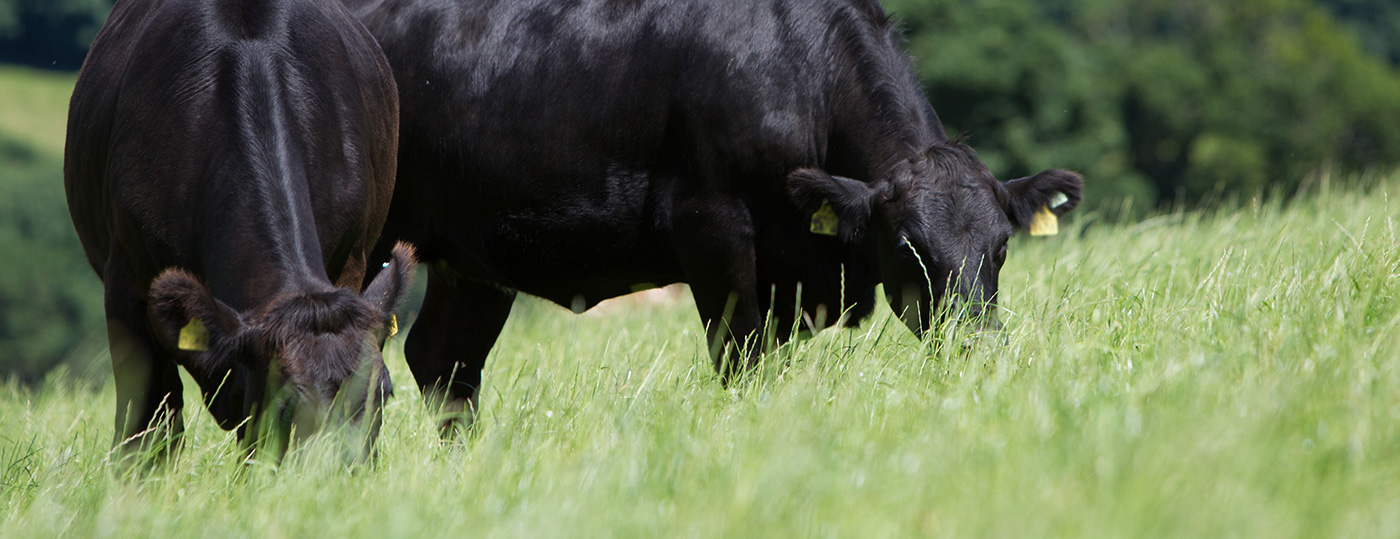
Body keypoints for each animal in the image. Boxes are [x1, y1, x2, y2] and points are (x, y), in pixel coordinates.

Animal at [65, 0, 411, 459]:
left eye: (382, 395)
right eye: (288, 406)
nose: (340, 471)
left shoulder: (351, 262)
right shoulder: (125, 284)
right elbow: (150, 424)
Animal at [347, 0, 1080, 428]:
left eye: (1002, 246)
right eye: (908, 248)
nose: (974, 345)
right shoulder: (711, 228)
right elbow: (741, 360)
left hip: (472, 256)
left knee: (444, 361)